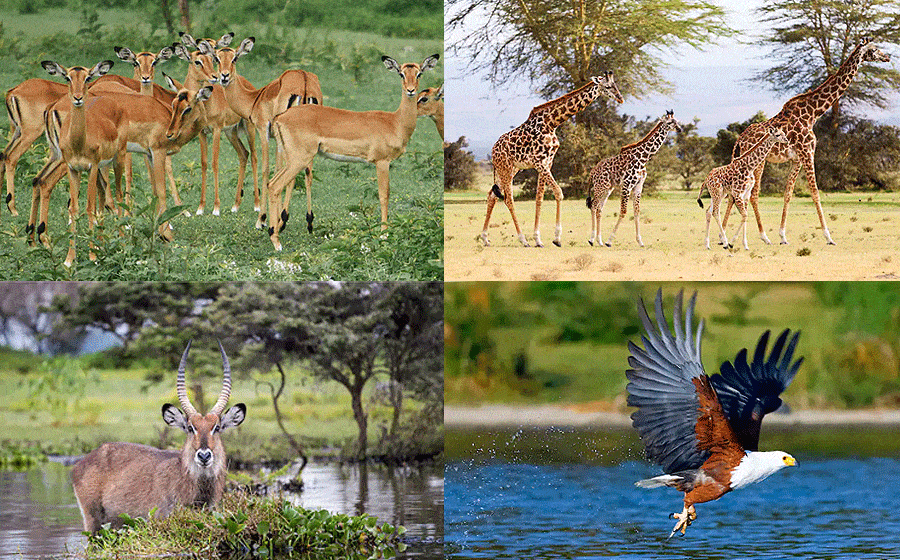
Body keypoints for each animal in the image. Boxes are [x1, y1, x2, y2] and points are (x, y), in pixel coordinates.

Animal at [478, 72, 624, 247]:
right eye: (608, 86)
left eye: (616, 85)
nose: (621, 98)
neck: (551, 123)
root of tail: (493, 150)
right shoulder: (539, 163)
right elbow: (559, 193)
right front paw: (557, 238)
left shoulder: (547, 162)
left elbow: (539, 199)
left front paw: (538, 239)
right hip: (505, 168)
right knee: (508, 199)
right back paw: (522, 239)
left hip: (510, 169)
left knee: (492, 195)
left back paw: (485, 238)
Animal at [584, 110, 684, 246]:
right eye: (669, 122)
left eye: (677, 121)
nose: (679, 129)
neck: (643, 159)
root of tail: (592, 172)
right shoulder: (626, 185)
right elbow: (623, 211)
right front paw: (610, 240)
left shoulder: (638, 186)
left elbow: (637, 212)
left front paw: (640, 241)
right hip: (600, 187)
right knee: (594, 206)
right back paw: (592, 239)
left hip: (607, 188)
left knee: (599, 208)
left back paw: (599, 241)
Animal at [728, 35, 888, 245]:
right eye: (874, 49)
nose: (887, 57)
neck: (813, 113)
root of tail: (740, 138)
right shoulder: (808, 152)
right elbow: (815, 193)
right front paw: (828, 236)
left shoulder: (797, 158)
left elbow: (788, 194)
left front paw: (783, 235)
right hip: (758, 161)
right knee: (753, 194)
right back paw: (763, 236)